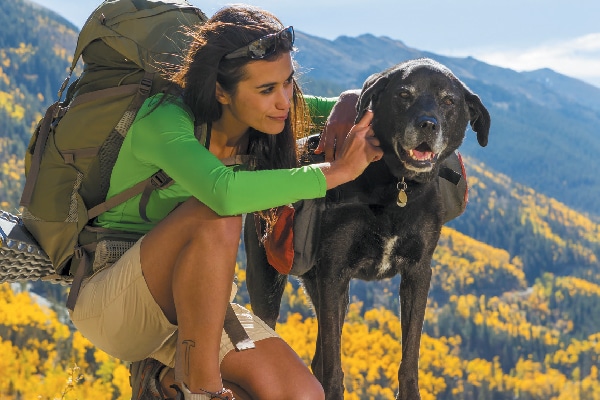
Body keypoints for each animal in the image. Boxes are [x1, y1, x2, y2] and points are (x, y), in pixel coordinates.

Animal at [244, 57, 492, 398]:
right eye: (404, 94)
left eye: (448, 101)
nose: (428, 124)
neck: (397, 185)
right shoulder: (333, 273)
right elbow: (334, 369)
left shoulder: (417, 273)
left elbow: (409, 358)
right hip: (268, 280)